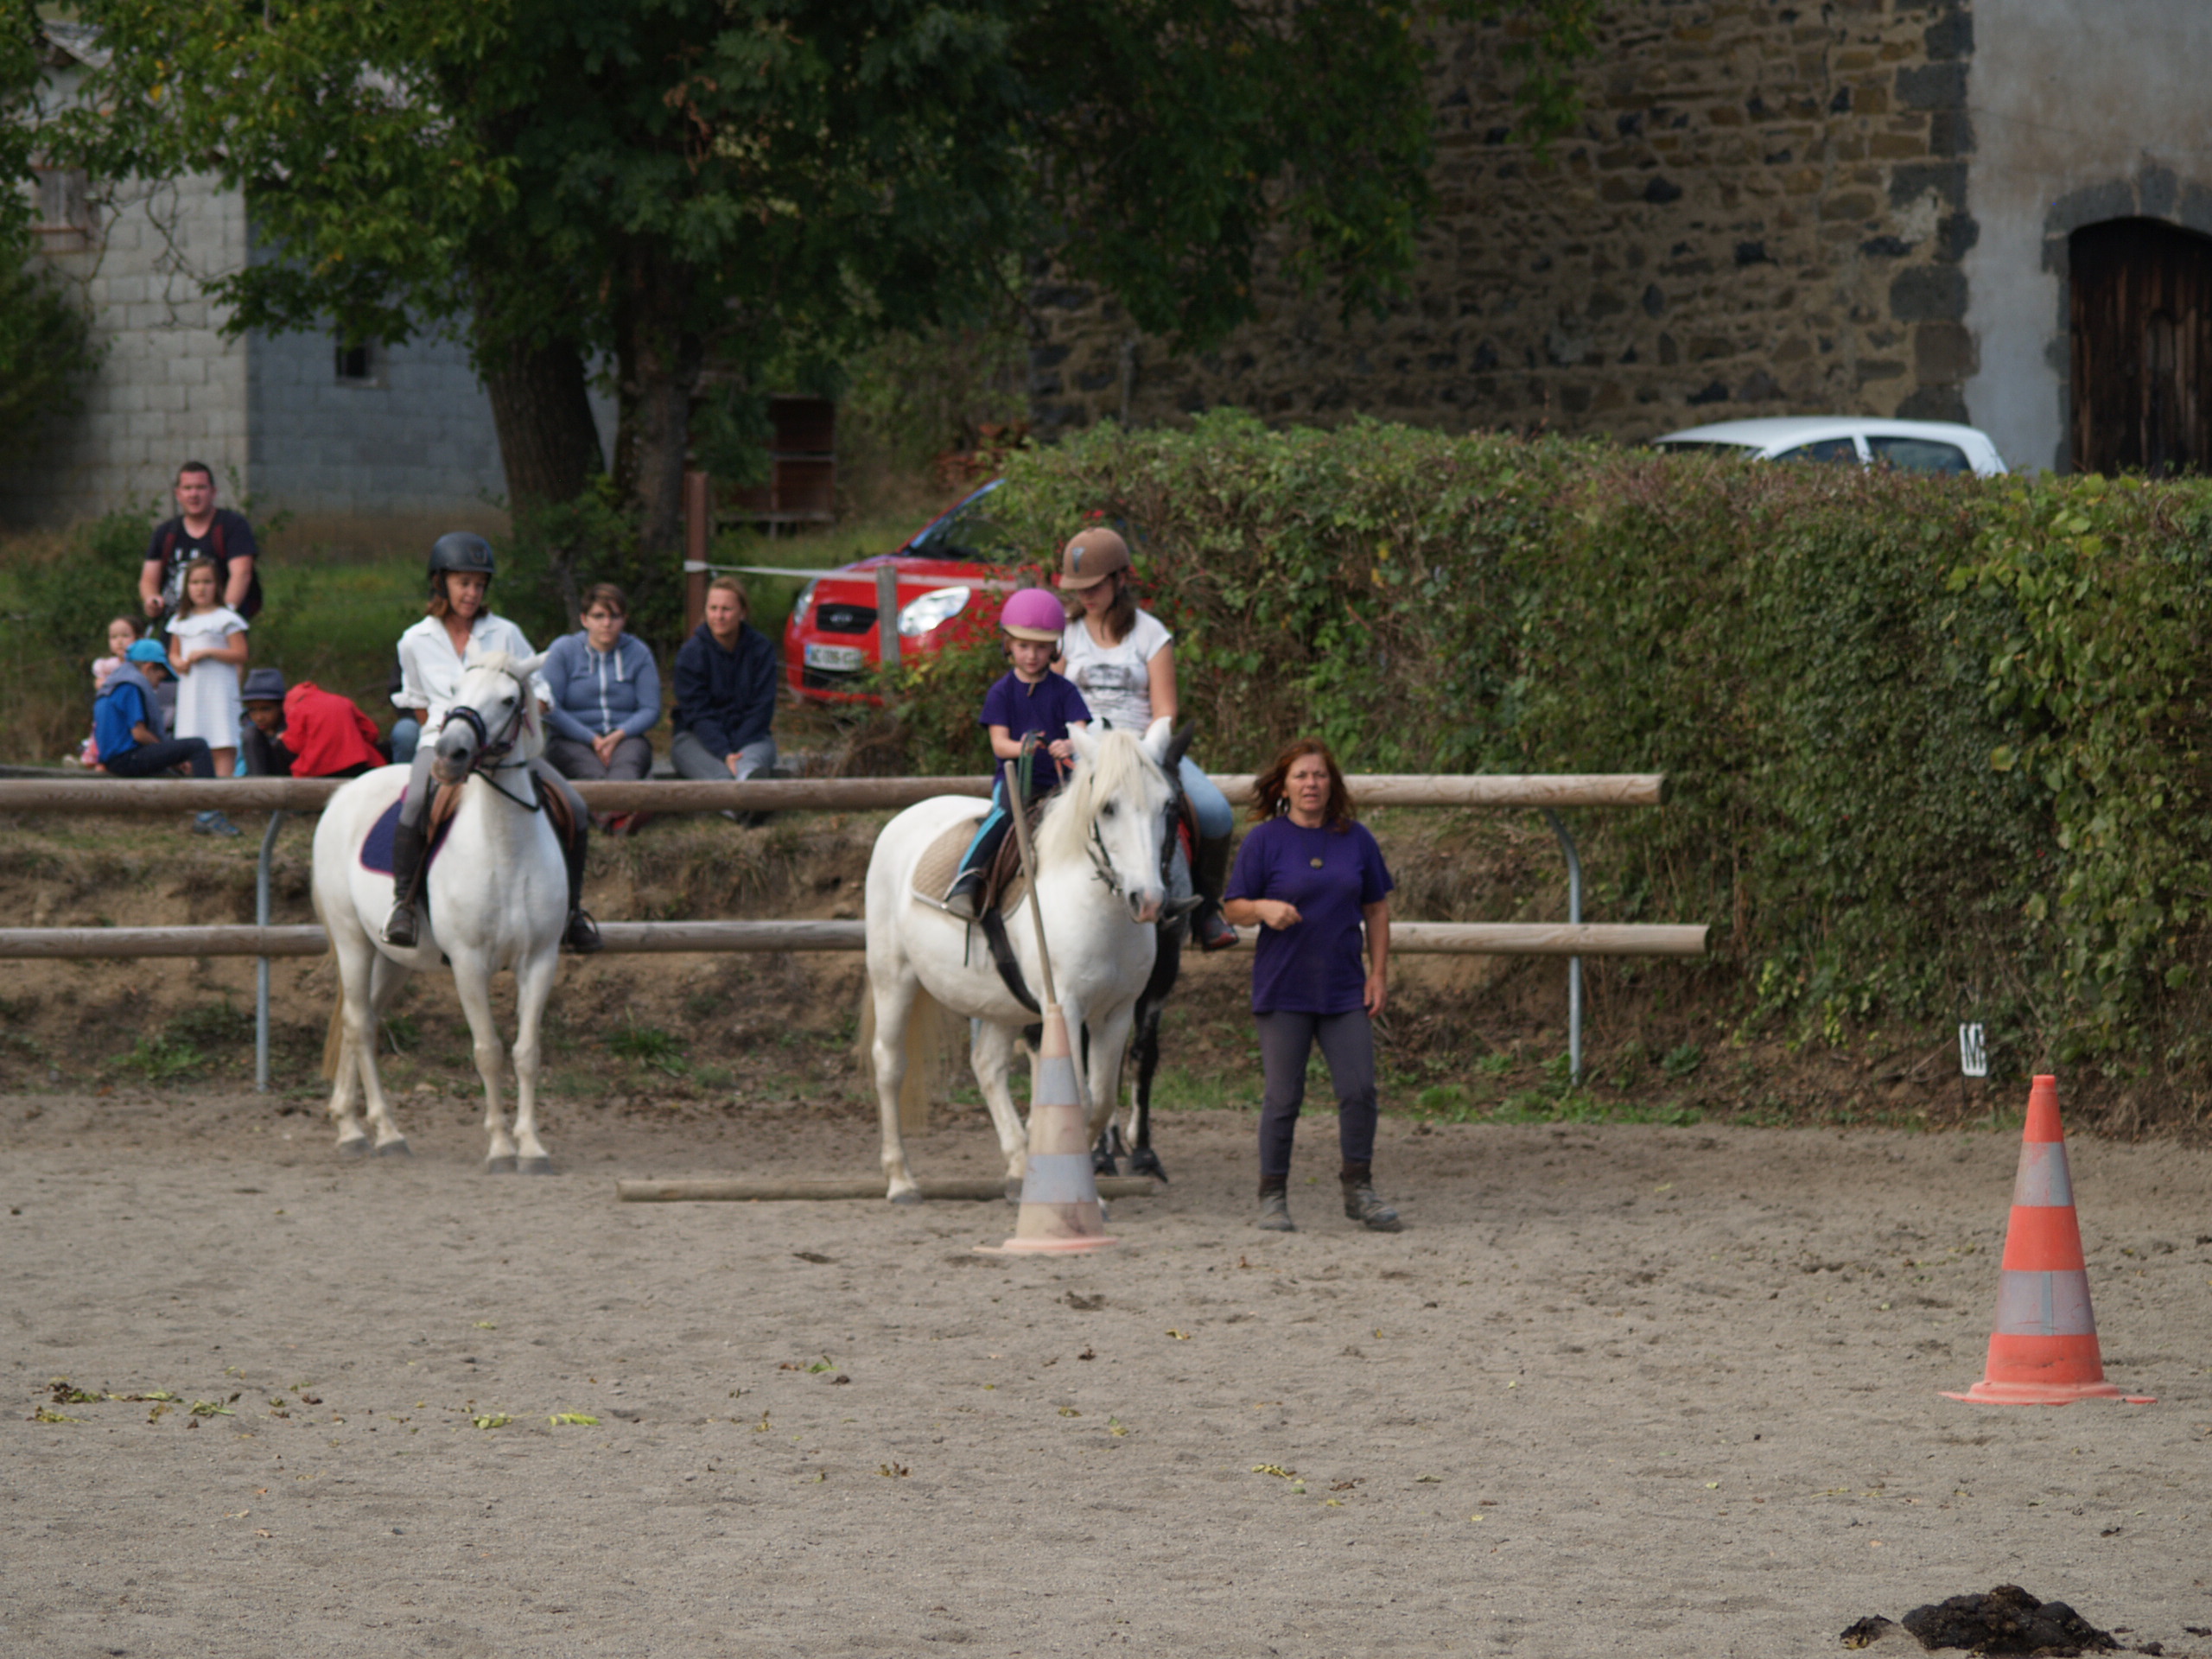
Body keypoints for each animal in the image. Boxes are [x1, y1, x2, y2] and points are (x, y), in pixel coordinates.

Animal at [311, 650, 570, 1167]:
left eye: (508, 699)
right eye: (455, 691)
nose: (450, 755)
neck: (505, 847)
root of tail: (344, 793)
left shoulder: (541, 960)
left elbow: (526, 1052)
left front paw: (531, 1146)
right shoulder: (469, 964)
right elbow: (488, 1051)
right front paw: (499, 1148)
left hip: (394, 959)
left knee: (363, 1018)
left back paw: (351, 1124)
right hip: (352, 942)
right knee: (359, 1024)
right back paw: (383, 1133)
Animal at [858, 721, 1185, 1203]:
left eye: (1168, 805)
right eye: (1108, 807)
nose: (1148, 901)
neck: (1091, 905)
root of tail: (905, 817)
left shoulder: (1117, 1012)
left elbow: (1101, 1099)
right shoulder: (1065, 1008)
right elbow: (1080, 1097)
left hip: (998, 1000)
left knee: (987, 1066)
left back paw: (1016, 1167)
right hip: (893, 977)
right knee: (888, 1064)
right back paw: (900, 1180)